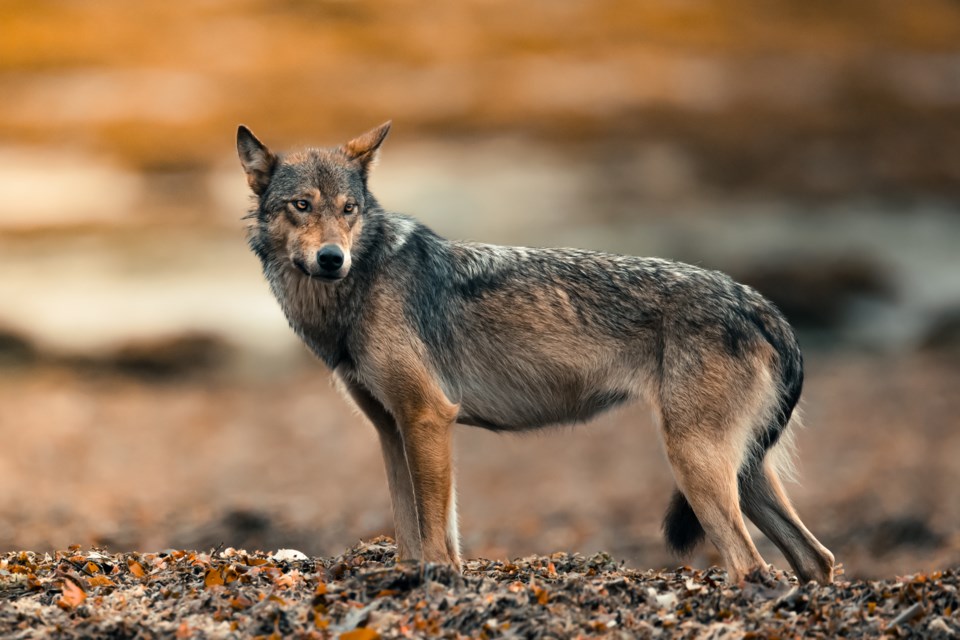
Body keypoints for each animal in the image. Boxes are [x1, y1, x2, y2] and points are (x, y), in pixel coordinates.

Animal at [238, 121, 832, 584]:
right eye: (301, 206)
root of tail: (759, 303)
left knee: (752, 567)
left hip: (696, 464)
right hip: (742, 474)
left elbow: (435, 533)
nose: (332, 258)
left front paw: (437, 580)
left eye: (349, 209)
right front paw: (410, 579)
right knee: (815, 559)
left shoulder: (427, 417)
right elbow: (413, 526)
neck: (358, 289)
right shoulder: (392, 428)